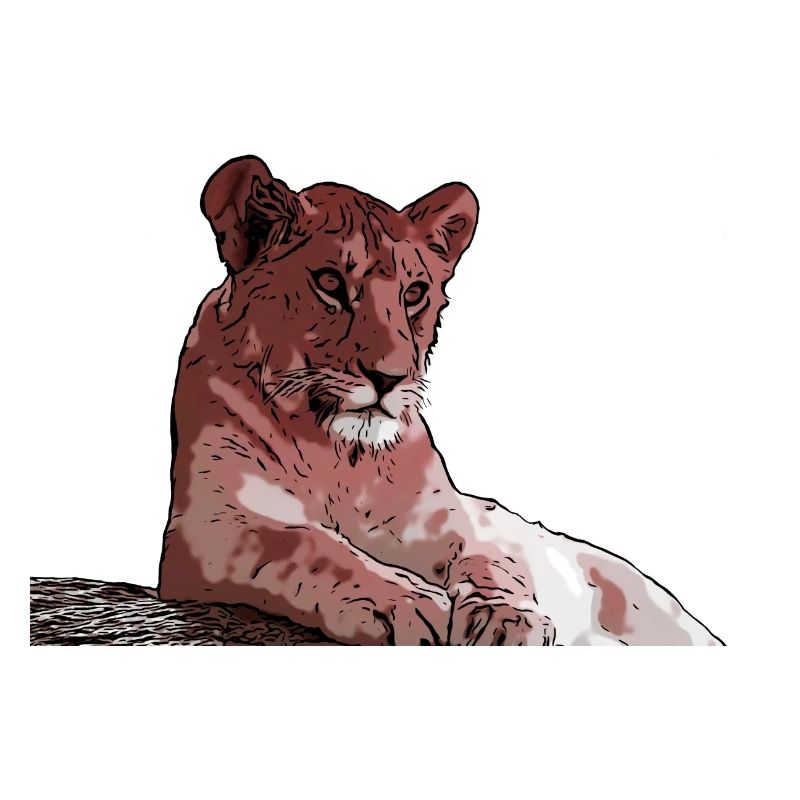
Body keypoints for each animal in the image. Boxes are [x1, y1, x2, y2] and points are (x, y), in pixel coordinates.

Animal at [158, 155, 722, 645]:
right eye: (330, 283)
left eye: (414, 294)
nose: (388, 378)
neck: (340, 459)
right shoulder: (211, 525)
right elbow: (305, 544)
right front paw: (406, 604)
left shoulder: (453, 518)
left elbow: (493, 561)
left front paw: (507, 618)